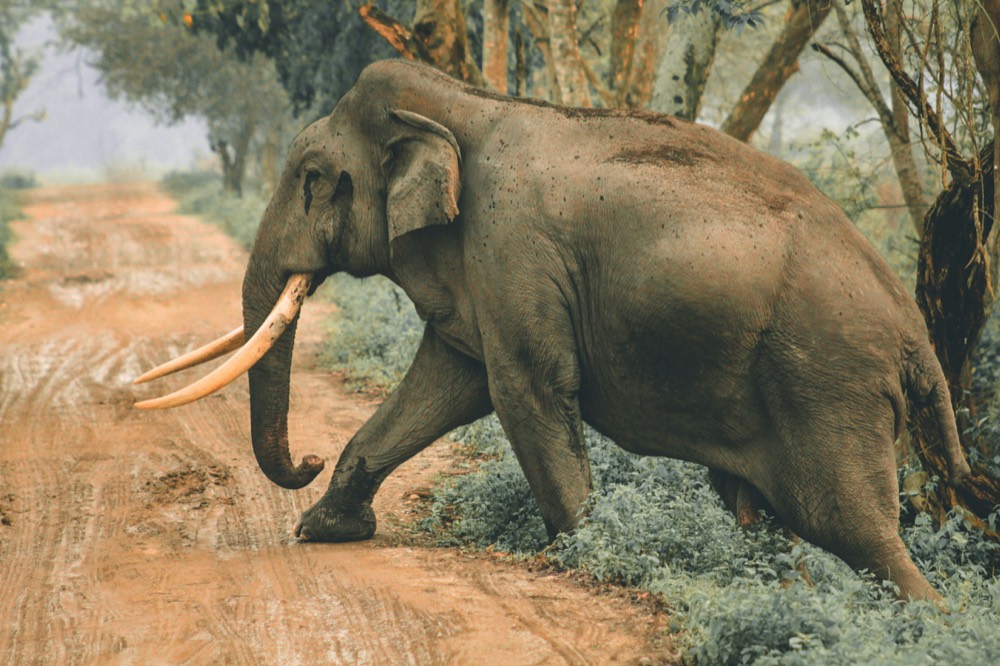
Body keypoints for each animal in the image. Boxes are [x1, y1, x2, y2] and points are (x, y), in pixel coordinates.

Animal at [136, 59, 970, 603]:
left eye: (313, 179)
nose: (304, 459)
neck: (463, 103)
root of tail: (915, 333)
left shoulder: (513, 244)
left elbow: (524, 389)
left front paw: (586, 559)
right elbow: (454, 378)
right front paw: (325, 531)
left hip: (828, 380)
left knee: (853, 525)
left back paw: (924, 622)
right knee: (786, 520)